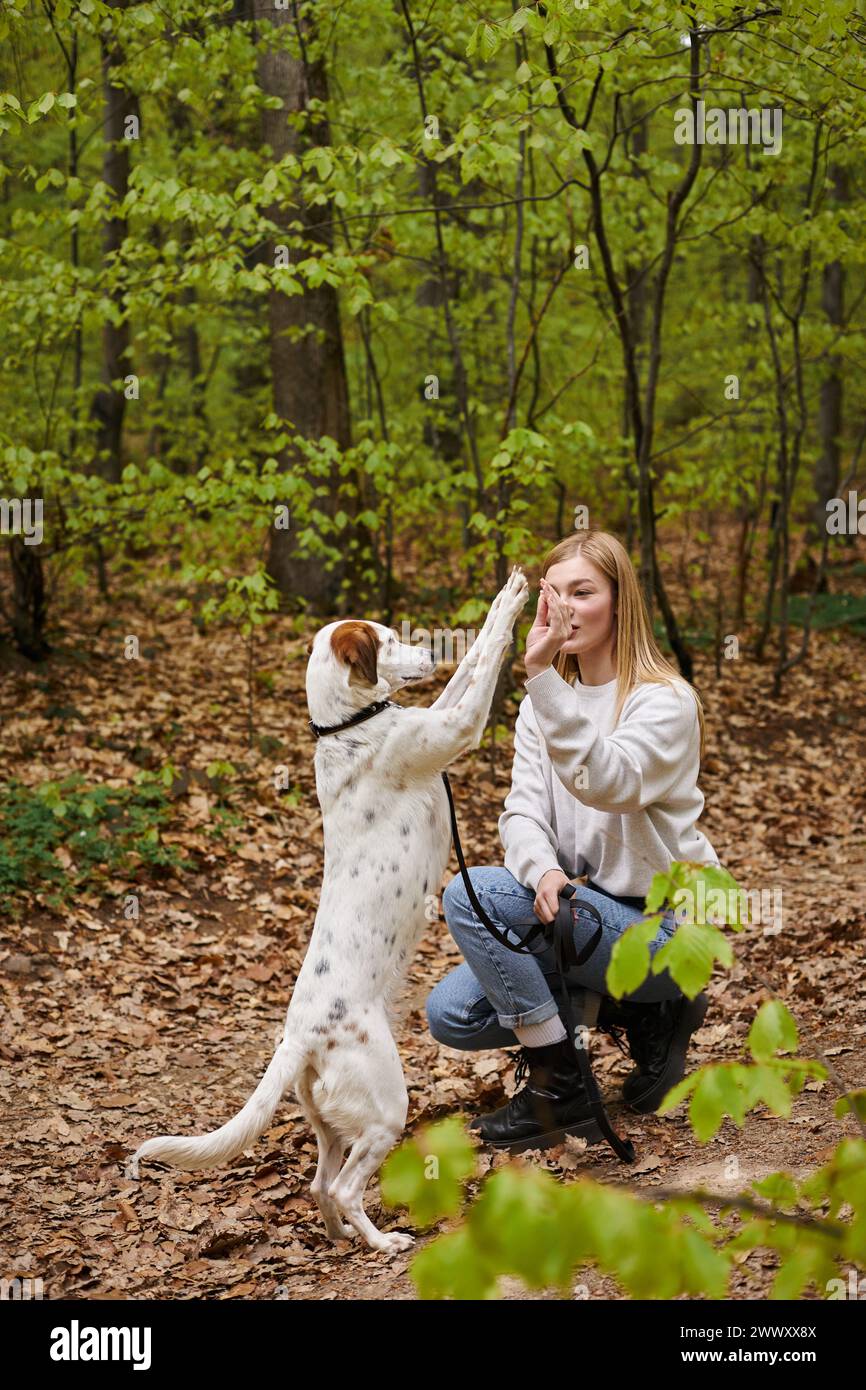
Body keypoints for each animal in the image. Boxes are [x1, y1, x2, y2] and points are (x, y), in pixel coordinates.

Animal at [127, 564, 528, 1251]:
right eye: (388, 640)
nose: (429, 654)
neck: (347, 728)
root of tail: (300, 1036)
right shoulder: (453, 731)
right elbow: (485, 662)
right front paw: (511, 603)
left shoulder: (435, 716)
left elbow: (470, 664)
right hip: (385, 1105)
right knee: (341, 1187)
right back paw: (384, 1243)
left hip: (331, 1121)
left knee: (320, 1184)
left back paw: (341, 1239)